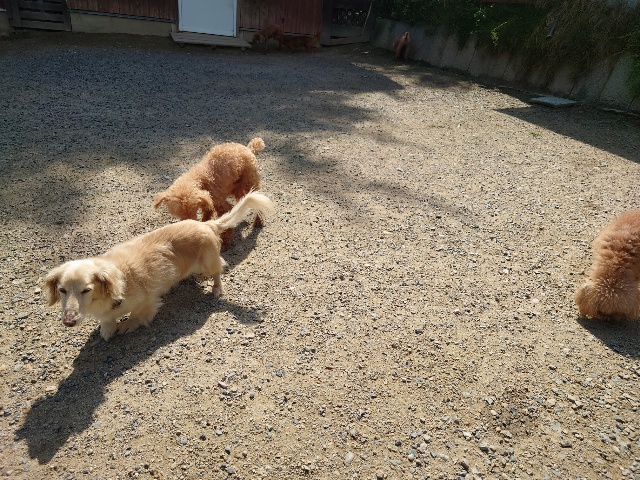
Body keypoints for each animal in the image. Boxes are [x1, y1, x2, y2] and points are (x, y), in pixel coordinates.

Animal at [45, 192, 274, 341]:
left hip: (208, 264)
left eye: (86, 290)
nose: (68, 322)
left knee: (218, 271)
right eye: (62, 290)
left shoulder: (147, 301)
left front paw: (125, 325)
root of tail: (206, 224)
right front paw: (107, 329)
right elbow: (107, 321)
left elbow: (137, 315)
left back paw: (216, 289)